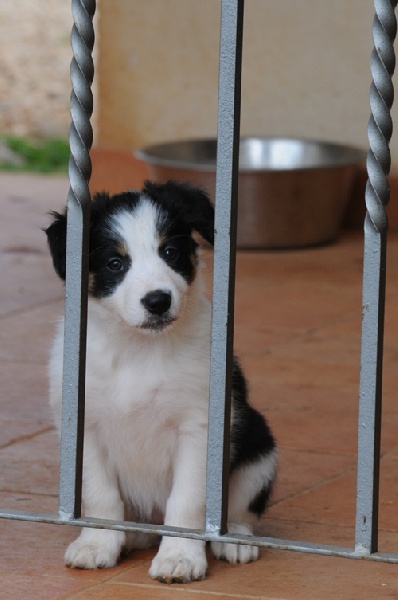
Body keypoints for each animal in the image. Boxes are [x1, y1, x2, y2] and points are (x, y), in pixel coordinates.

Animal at [45, 180, 276, 584]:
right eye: (115, 263)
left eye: (170, 252)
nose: (157, 301)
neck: (139, 348)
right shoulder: (84, 429)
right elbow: (100, 495)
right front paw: (96, 544)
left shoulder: (199, 428)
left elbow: (186, 502)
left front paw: (180, 557)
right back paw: (131, 536)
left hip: (258, 450)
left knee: (236, 510)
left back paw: (234, 540)